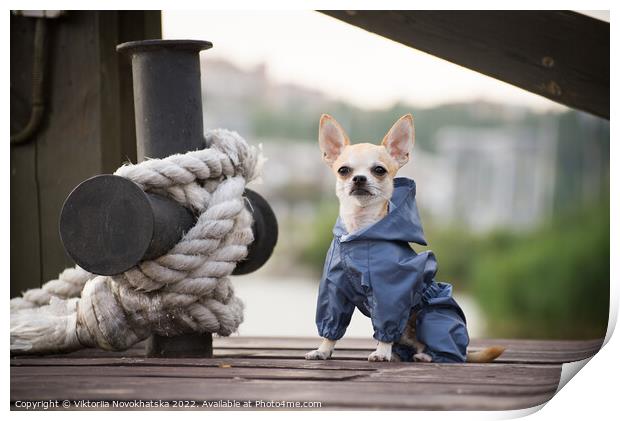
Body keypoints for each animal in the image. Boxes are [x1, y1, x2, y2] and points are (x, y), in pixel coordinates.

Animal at [306, 113, 504, 362]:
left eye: (379, 170)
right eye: (344, 170)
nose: (359, 178)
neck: (360, 232)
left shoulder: (390, 293)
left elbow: (385, 325)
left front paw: (381, 352)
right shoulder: (334, 290)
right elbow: (331, 326)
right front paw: (323, 350)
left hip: (432, 316)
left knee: (448, 351)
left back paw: (427, 356)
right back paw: (401, 355)